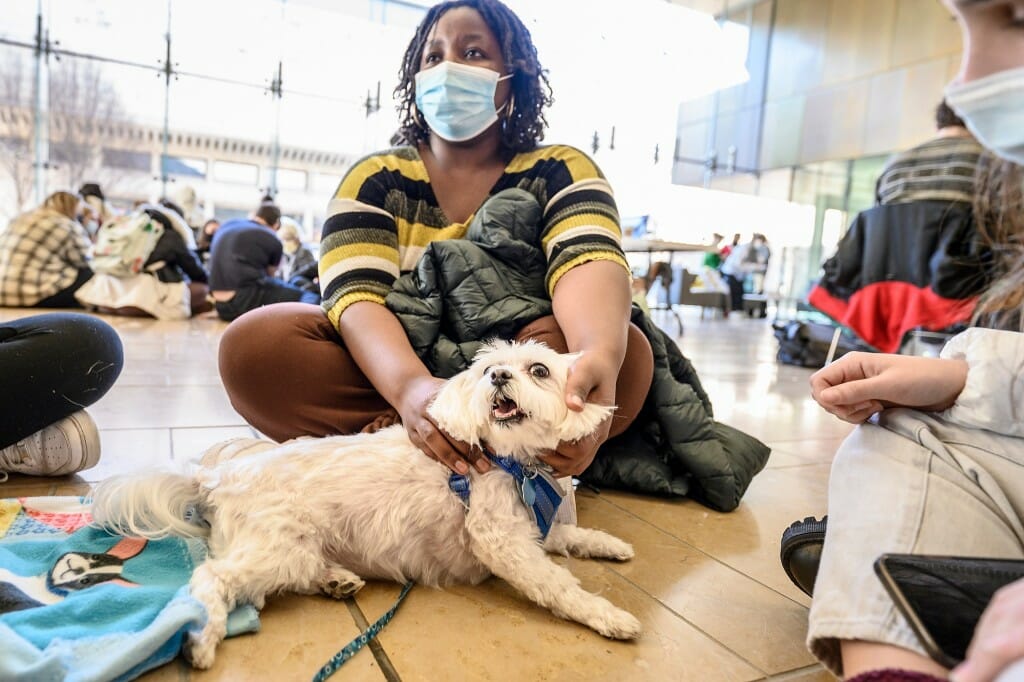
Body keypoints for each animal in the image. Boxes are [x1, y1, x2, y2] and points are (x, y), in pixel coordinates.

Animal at [92, 337, 643, 667]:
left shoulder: (535, 526)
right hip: (279, 546)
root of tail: (218, 476)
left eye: (539, 370)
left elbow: (568, 535)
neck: (511, 465)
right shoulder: (501, 541)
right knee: (214, 578)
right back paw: (203, 639)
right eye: (490, 369)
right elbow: (557, 584)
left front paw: (608, 544)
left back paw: (336, 580)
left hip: (292, 551)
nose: (499, 378)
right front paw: (607, 615)